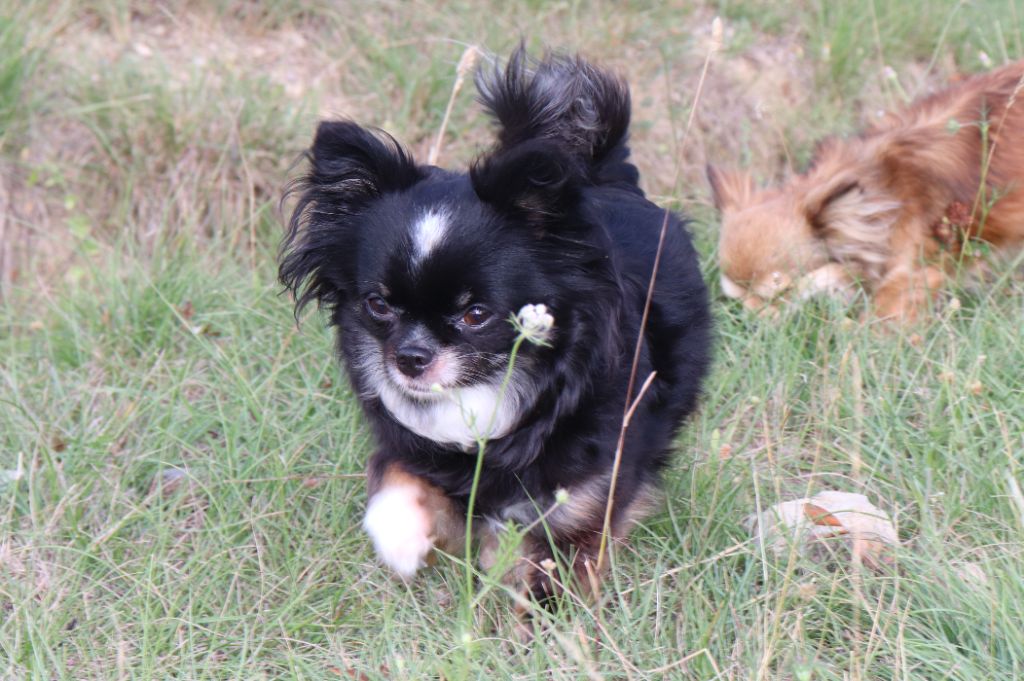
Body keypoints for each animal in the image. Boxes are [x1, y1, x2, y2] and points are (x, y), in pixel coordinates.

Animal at [280, 49, 712, 602]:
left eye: (475, 314)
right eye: (379, 305)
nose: (410, 358)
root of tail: (601, 173)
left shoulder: (579, 506)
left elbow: (551, 569)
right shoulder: (412, 446)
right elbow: (394, 476)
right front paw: (401, 537)